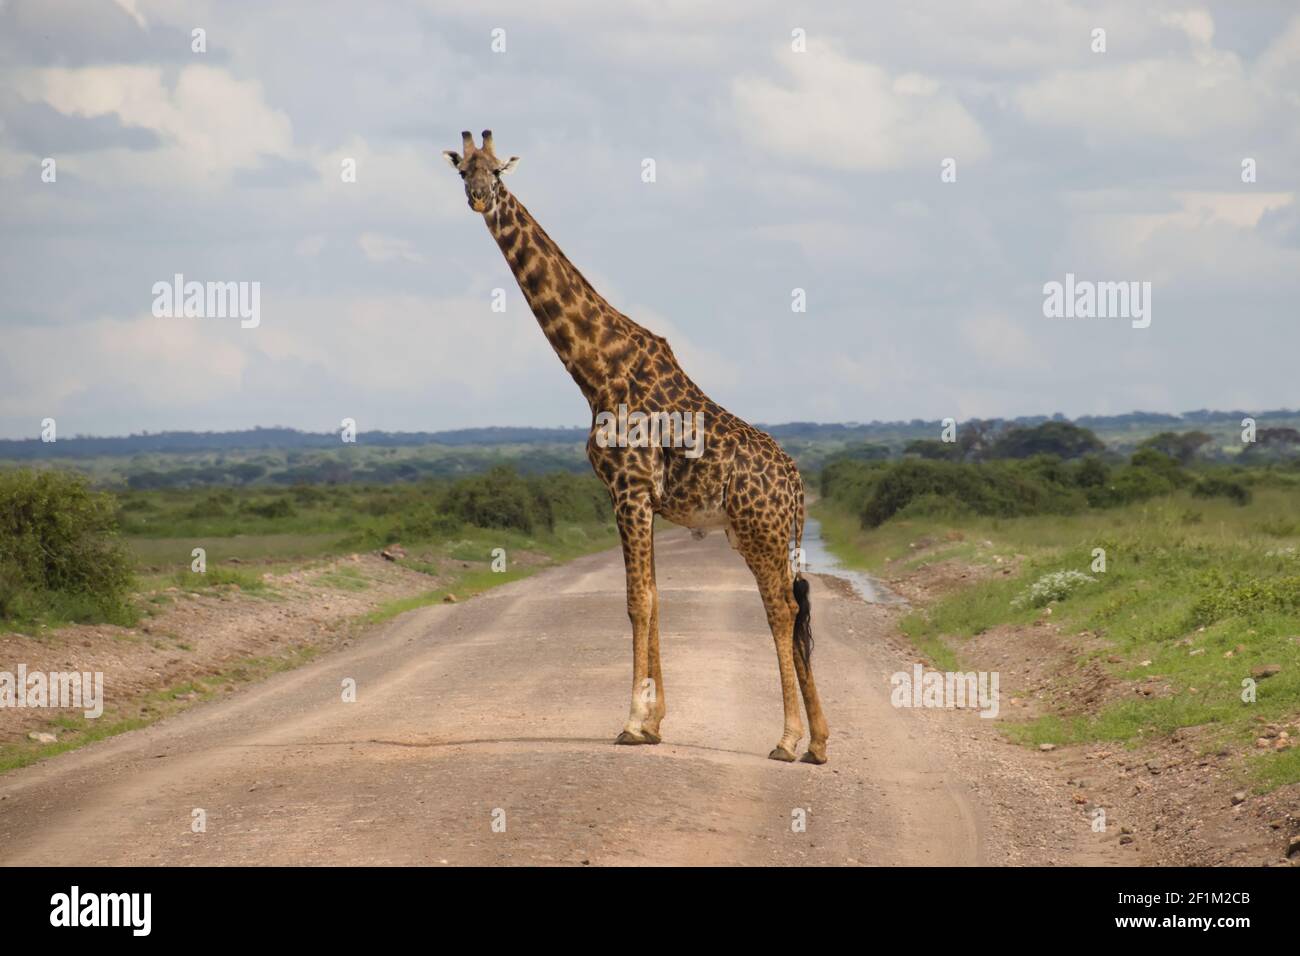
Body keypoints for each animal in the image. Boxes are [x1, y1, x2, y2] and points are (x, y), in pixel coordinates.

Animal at [442, 131, 829, 764]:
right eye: (462, 171)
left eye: (497, 171)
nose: (479, 199)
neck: (594, 367)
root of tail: (796, 486)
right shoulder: (633, 496)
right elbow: (652, 596)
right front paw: (654, 723)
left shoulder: (629, 488)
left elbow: (636, 600)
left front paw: (631, 722)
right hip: (766, 535)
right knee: (795, 610)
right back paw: (819, 742)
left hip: (759, 532)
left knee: (782, 608)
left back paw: (788, 739)